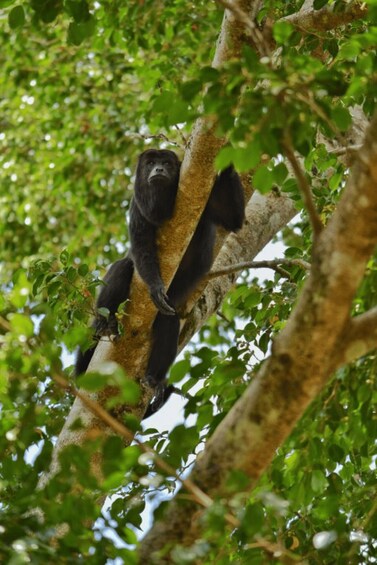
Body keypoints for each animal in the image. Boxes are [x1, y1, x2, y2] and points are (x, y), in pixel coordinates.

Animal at [76, 148, 245, 416]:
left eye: (166, 163)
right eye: (151, 163)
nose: (159, 170)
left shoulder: (208, 199)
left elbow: (234, 219)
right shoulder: (136, 206)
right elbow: (141, 246)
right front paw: (155, 286)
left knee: (169, 319)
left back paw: (155, 379)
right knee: (123, 268)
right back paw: (105, 323)